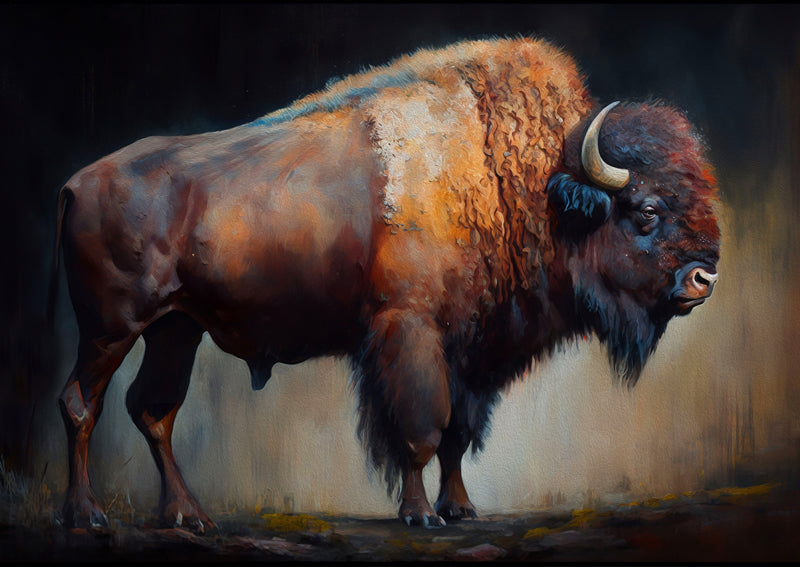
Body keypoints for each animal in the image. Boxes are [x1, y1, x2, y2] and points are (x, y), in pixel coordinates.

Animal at [50, 37, 720, 530]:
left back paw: (187, 517)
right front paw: (420, 516)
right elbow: (420, 431)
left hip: (175, 331)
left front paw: (461, 509)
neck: (525, 181)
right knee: (83, 403)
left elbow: (457, 435)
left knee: (153, 410)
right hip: (111, 328)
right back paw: (88, 517)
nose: (704, 277)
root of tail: (76, 183)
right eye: (646, 211)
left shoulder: (473, 351)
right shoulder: (410, 332)